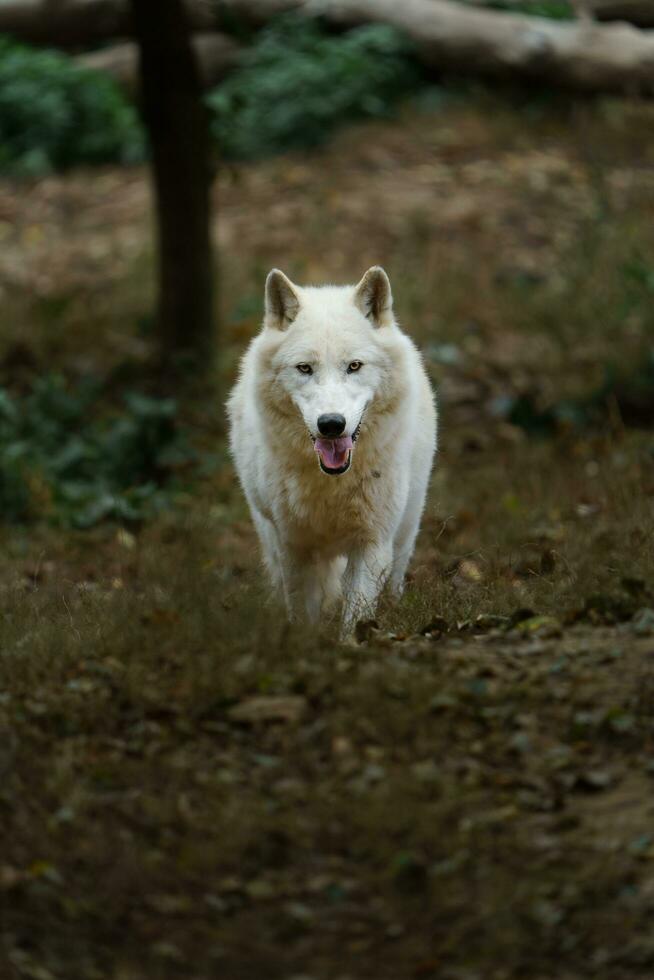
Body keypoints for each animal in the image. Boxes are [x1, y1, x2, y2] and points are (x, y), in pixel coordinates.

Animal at [228, 266, 438, 636]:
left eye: (354, 366)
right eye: (304, 368)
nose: (331, 424)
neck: (331, 484)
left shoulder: (372, 542)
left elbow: (356, 614)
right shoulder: (293, 545)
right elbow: (301, 610)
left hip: (405, 530)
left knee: (394, 581)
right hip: (268, 532)